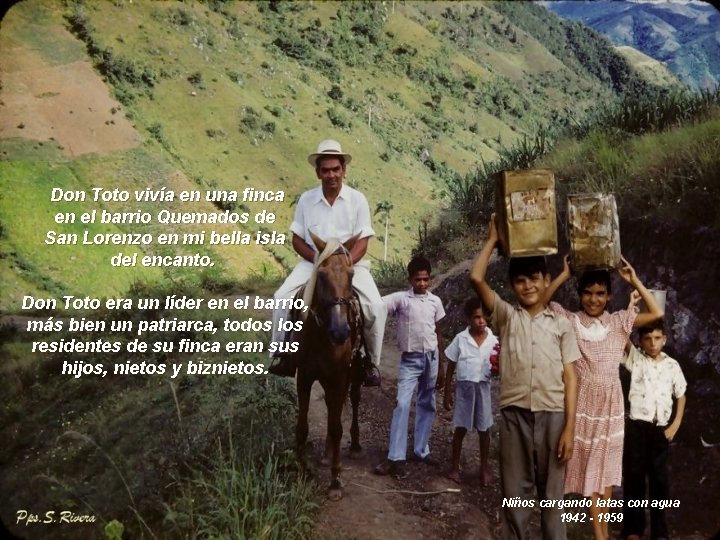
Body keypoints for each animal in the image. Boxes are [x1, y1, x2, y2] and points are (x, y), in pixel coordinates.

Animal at [294, 233, 362, 502]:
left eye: (351, 275)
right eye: (321, 276)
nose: (341, 332)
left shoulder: (340, 377)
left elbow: (336, 426)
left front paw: (335, 481)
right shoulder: (304, 377)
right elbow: (302, 426)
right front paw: (301, 471)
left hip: (352, 377)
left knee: (351, 403)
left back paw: (355, 446)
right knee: (331, 406)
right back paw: (325, 453)